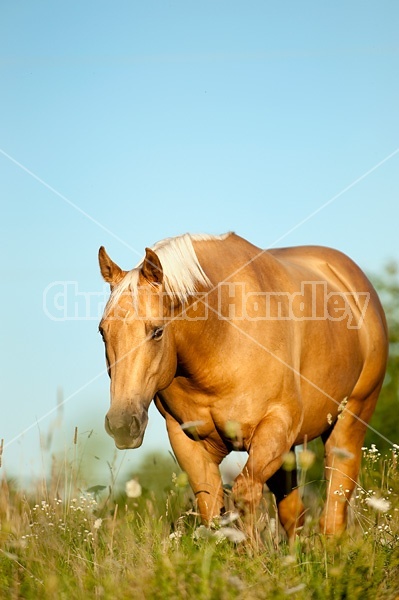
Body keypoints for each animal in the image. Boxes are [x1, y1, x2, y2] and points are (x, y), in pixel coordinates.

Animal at [98, 232, 390, 536]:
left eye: (156, 332)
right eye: (103, 331)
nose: (122, 424)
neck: (222, 335)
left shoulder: (276, 424)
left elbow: (244, 495)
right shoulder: (188, 442)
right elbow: (211, 508)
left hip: (349, 422)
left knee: (334, 508)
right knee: (294, 513)